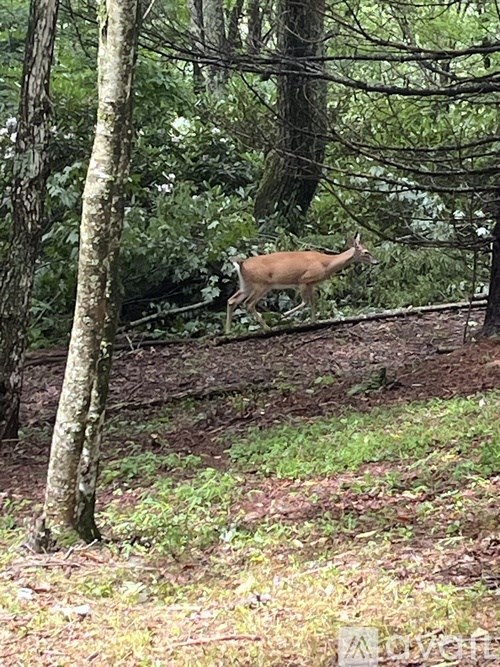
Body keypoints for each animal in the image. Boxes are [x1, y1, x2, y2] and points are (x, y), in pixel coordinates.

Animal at [225, 234, 378, 334]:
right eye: (366, 252)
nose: (377, 262)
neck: (326, 264)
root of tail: (241, 264)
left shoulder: (311, 284)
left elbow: (313, 302)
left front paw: (313, 321)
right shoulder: (303, 280)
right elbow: (305, 302)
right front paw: (284, 315)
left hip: (246, 285)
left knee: (232, 300)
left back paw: (228, 331)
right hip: (261, 284)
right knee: (249, 303)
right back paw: (268, 327)